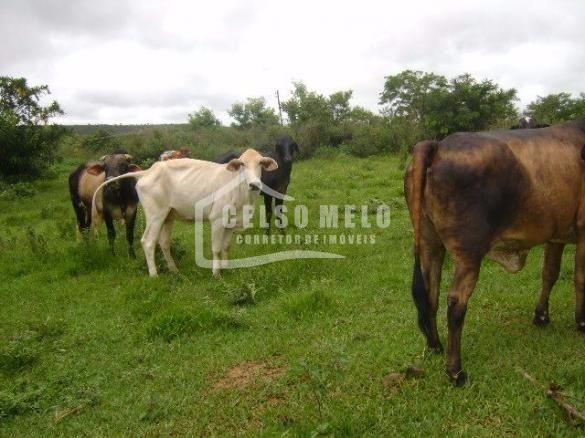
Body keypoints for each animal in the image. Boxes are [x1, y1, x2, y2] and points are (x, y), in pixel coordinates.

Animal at [92, 149, 278, 276]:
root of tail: (148, 171)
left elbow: (226, 247)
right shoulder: (217, 219)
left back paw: (174, 270)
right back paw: (154, 274)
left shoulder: (231, 221)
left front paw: (226, 268)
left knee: (164, 243)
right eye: (242, 164)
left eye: (260, 163)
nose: (254, 184)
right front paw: (216, 273)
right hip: (155, 215)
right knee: (148, 241)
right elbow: (216, 248)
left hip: (168, 216)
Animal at [404, 118, 584, 384]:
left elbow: (549, 274)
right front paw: (581, 322)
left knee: (429, 294)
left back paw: (435, 346)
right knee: (456, 304)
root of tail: (438, 145)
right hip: (468, 254)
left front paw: (541, 316)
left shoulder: (556, 235)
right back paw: (455, 370)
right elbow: (580, 279)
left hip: (430, 244)